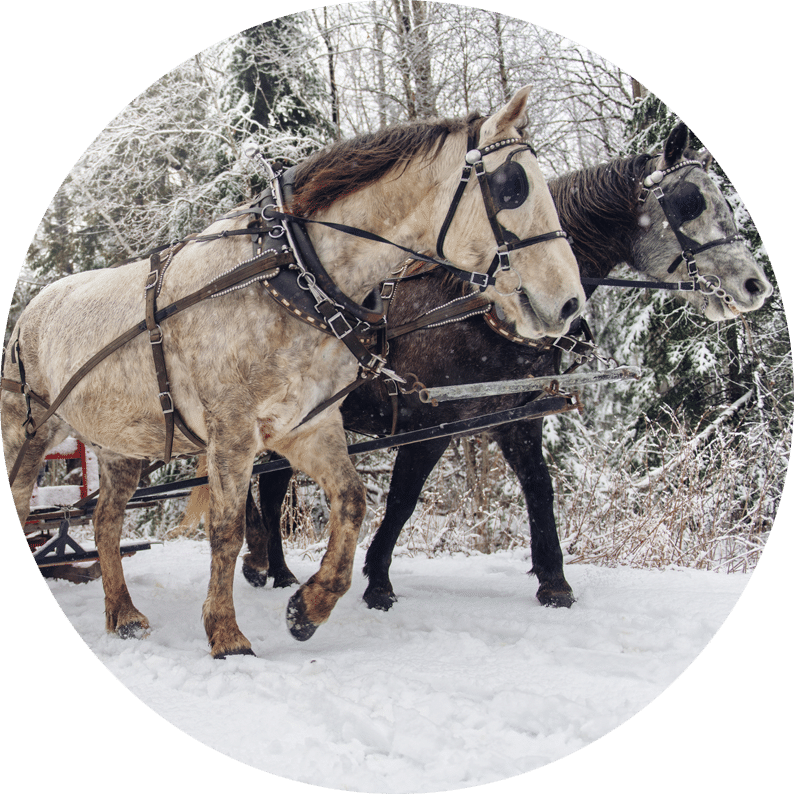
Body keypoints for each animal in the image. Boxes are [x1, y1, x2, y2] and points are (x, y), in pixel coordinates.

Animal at [2, 86, 586, 657]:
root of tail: (30, 311)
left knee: (104, 523)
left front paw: (310, 607)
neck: (294, 274)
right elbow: (227, 529)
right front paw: (226, 633)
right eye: (512, 187)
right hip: (27, 433)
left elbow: (353, 501)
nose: (569, 304)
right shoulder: (232, 430)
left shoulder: (306, 425)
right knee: (24, 500)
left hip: (120, 446)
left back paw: (123, 614)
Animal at [239, 122, 772, 610]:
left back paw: (272, 566)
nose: (755, 286)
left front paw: (554, 582)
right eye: (688, 203)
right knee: (267, 489)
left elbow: (540, 489)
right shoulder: (429, 423)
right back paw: (271, 565)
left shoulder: (518, 417)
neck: (479, 307)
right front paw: (378, 582)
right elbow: (403, 500)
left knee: (269, 486)